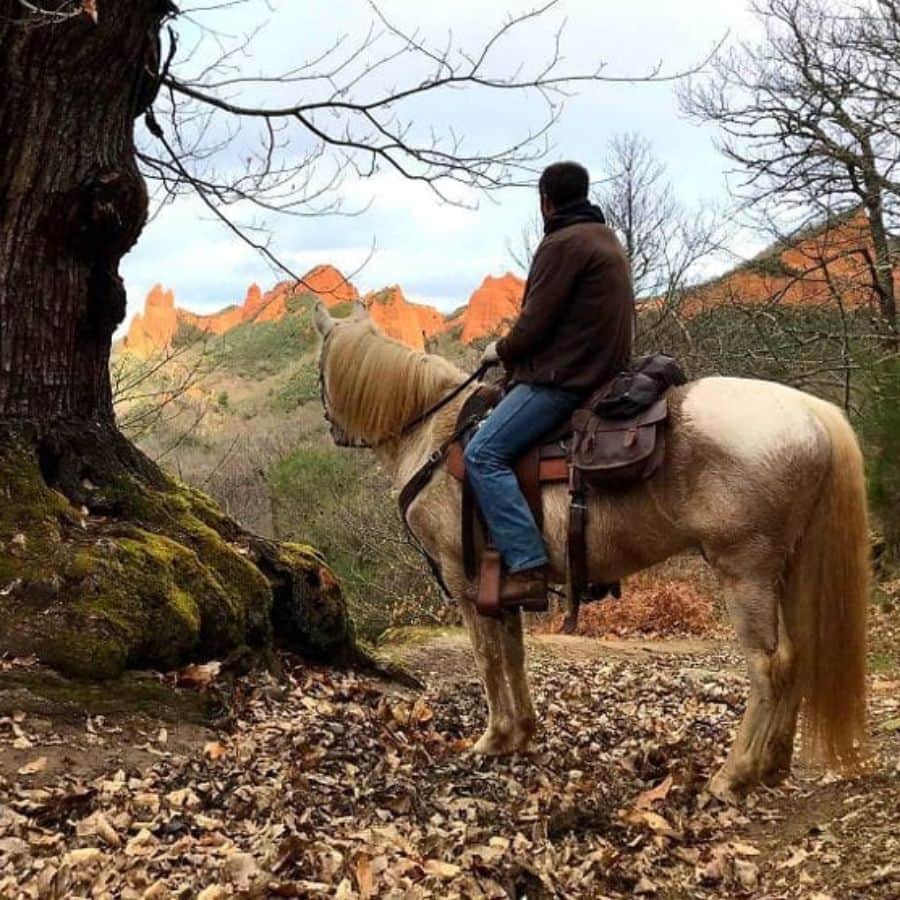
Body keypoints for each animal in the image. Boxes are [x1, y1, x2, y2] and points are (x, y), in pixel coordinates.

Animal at [313, 302, 869, 800]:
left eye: (319, 372)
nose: (334, 431)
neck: (433, 434)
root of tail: (811, 413)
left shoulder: (466, 583)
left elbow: (487, 659)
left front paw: (493, 739)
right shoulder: (503, 585)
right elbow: (513, 653)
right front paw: (522, 733)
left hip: (745, 571)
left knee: (770, 666)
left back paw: (734, 775)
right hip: (786, 568)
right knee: (798, 655)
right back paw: (774, 764)